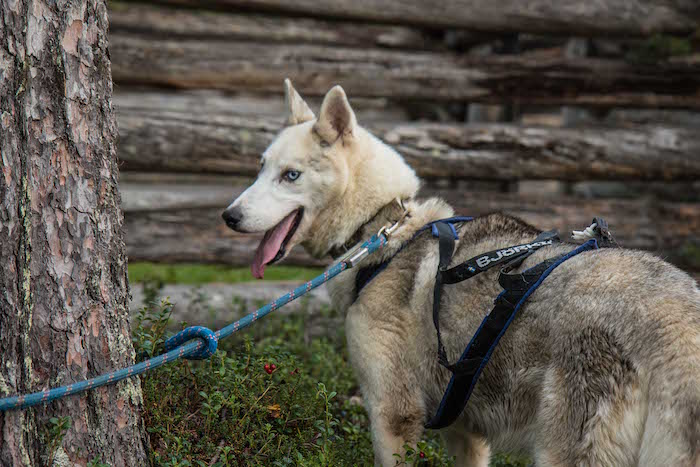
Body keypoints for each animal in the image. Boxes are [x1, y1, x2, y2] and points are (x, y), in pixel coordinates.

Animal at [223, 80, 700, 467]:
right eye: (260, 168)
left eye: (291, 175)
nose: (228, 216)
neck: (382, 229)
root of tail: (676, 322)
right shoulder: (465, 431)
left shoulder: (392, 415)